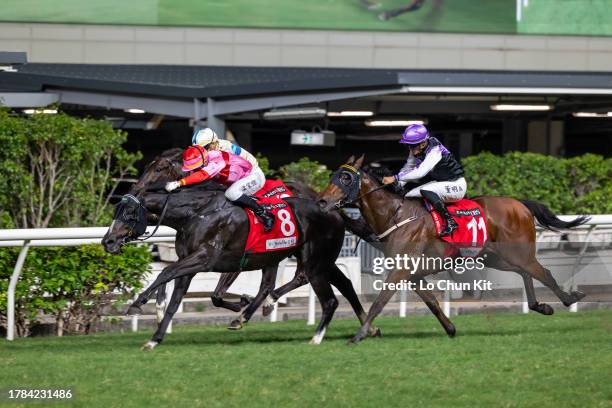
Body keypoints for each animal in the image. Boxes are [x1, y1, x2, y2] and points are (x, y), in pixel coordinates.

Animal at [316, 156, 588, 344]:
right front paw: (451, 329)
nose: (322, 201)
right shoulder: (413, 273)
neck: (396, 215)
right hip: (495, 257)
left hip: (517, 253)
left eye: (346, 178)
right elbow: (432, 302)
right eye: (332, 176)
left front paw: (359, 335)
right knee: (526, 273)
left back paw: (569, 298)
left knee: (543, 273)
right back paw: (541, 306)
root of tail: (519, 204)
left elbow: (379, 302)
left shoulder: (401, 270)